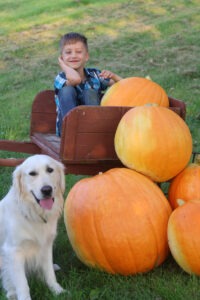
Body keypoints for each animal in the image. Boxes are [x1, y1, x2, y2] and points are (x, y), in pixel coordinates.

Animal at [0, 155, 65, 300]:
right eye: (32, 174)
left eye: (50, 170)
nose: (46, 190)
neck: (33, 213)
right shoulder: (13, 251)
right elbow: (22, 283)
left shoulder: (46, 245)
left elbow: (49, 272)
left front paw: (57, 290)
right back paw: (11, 292)